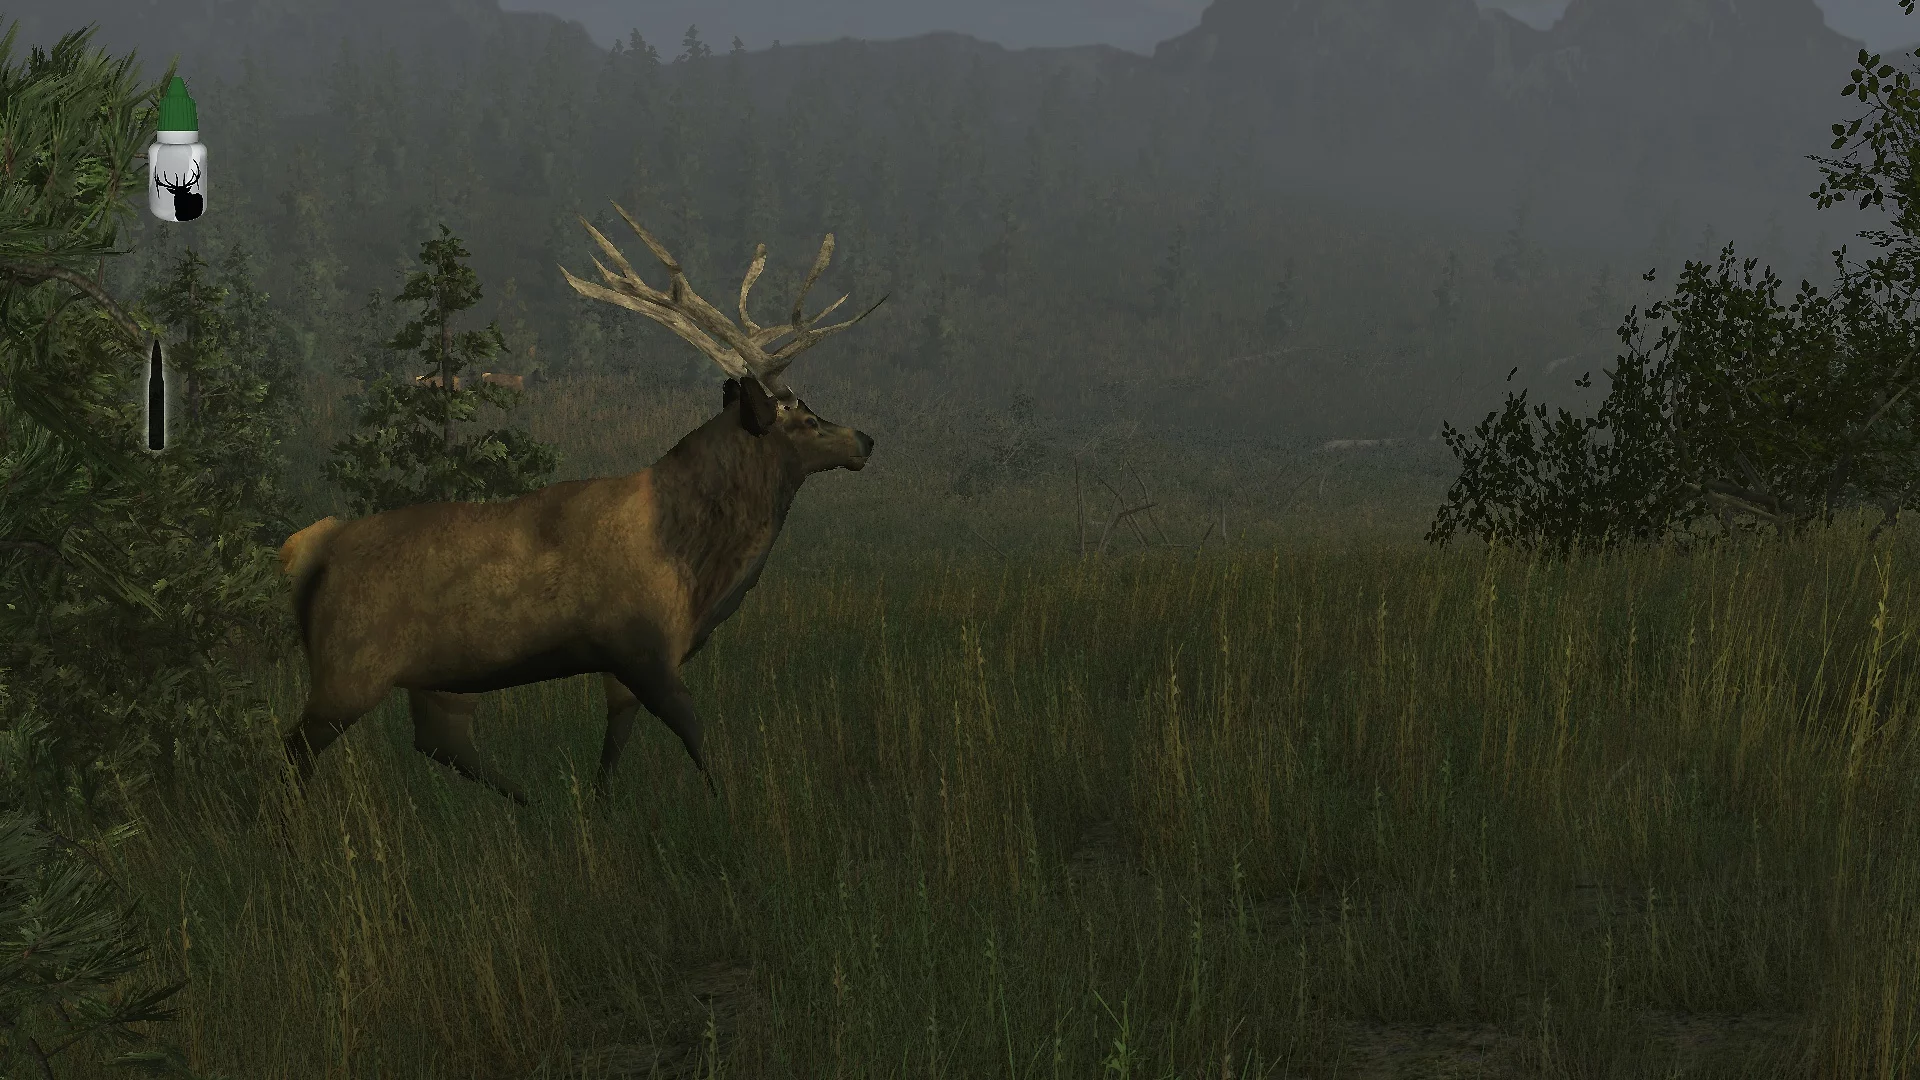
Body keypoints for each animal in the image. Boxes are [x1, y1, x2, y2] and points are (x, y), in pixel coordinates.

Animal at [279, 204, 884, 804]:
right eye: (807, 419)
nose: (865, 439)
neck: (696, 565)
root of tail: (310, 549)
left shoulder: (627, 666)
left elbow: (614, 749)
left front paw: (598, 807)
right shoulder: (642, 645)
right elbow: (692, 730)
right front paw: (724, 803)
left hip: (440, 678)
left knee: (440, 741)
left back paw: (533, 805)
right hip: (351, 667)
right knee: (297, 747)